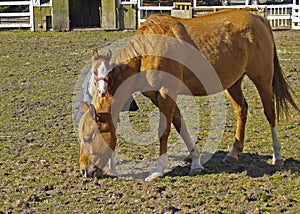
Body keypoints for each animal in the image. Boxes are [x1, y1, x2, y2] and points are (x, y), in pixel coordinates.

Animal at [79, 9, 298, 181]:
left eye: (90, 137)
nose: (84, 170)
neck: (147, 49)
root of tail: (256, 16)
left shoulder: (167, 93)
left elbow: (164, 130)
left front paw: (158, 170)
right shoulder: (159, 96)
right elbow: (180, 125)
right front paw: (196, 162)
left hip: (262, 79)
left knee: (270, 114)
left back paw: (277, 155)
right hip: (232, 83)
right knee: (241, 110)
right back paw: (234, 152)